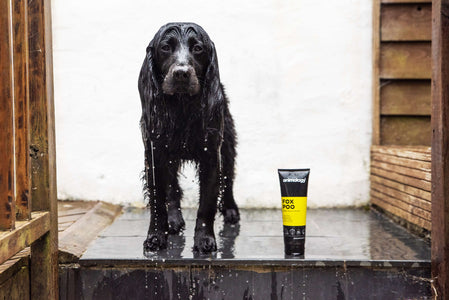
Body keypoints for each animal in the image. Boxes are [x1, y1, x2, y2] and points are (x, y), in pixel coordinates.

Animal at [138, 22, 240, 253]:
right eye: (166, 47)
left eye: (198, 48)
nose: (181, 74)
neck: (182, 107)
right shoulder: (156, 153)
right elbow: (158, 199)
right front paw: (156, 236)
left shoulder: (211, 154)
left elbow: (207, 204)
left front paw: (204, 239)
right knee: (172, 188)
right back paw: (174, 219)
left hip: (228, 144)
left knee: (228, 178)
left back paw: (230, 210)